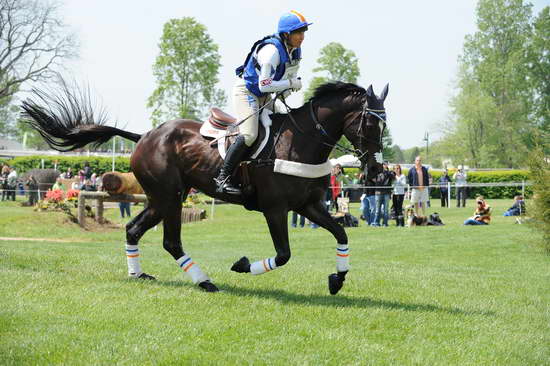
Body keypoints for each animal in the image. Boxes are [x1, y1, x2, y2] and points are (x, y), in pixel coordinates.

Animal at [21, 81, 390, 294]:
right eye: (371, 123)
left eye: (385, 124)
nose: (376, 171)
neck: (301, 141)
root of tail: (145, 135)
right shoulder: (275, 209)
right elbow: (284, 254)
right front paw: (242, 265)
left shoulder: (308, 206)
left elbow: (341, 233)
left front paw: (337, 279)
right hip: (170, 197)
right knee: (171, 241)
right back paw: (204, 281)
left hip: (162, 198)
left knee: (133, 229)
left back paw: (138, 275)